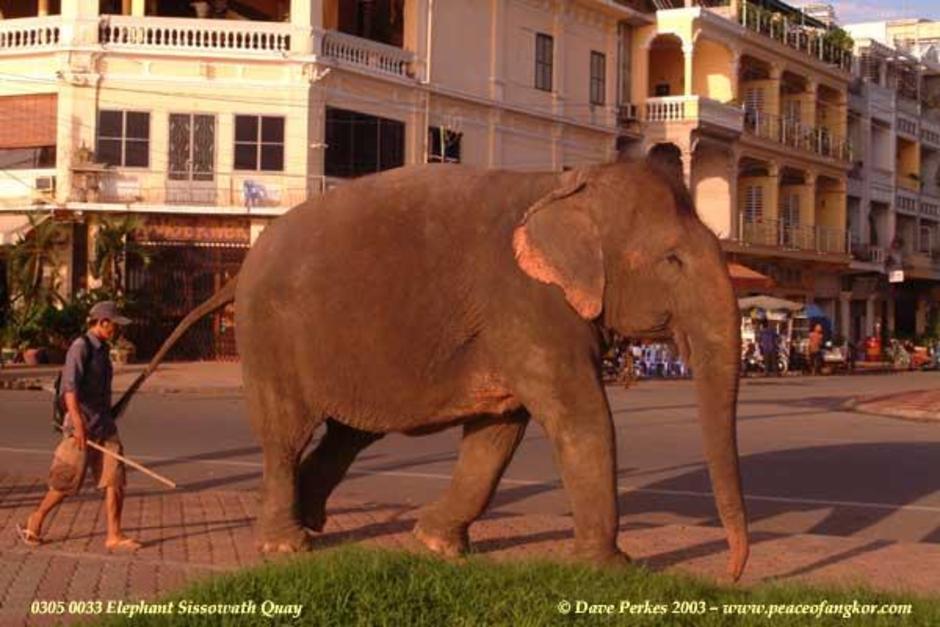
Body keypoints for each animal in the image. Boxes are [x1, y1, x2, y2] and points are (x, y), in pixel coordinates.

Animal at [116, 160, 749, 580]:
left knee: (349, 435)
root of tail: (239, 270)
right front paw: (611, 571)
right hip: (269, 333)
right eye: (673, 259)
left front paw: (436, 546)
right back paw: (286, 546)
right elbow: (581, 417)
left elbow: (500, 431)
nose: (733, 574)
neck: (563, 184)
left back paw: (315, 521)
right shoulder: (524, 304)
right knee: (284, 432)